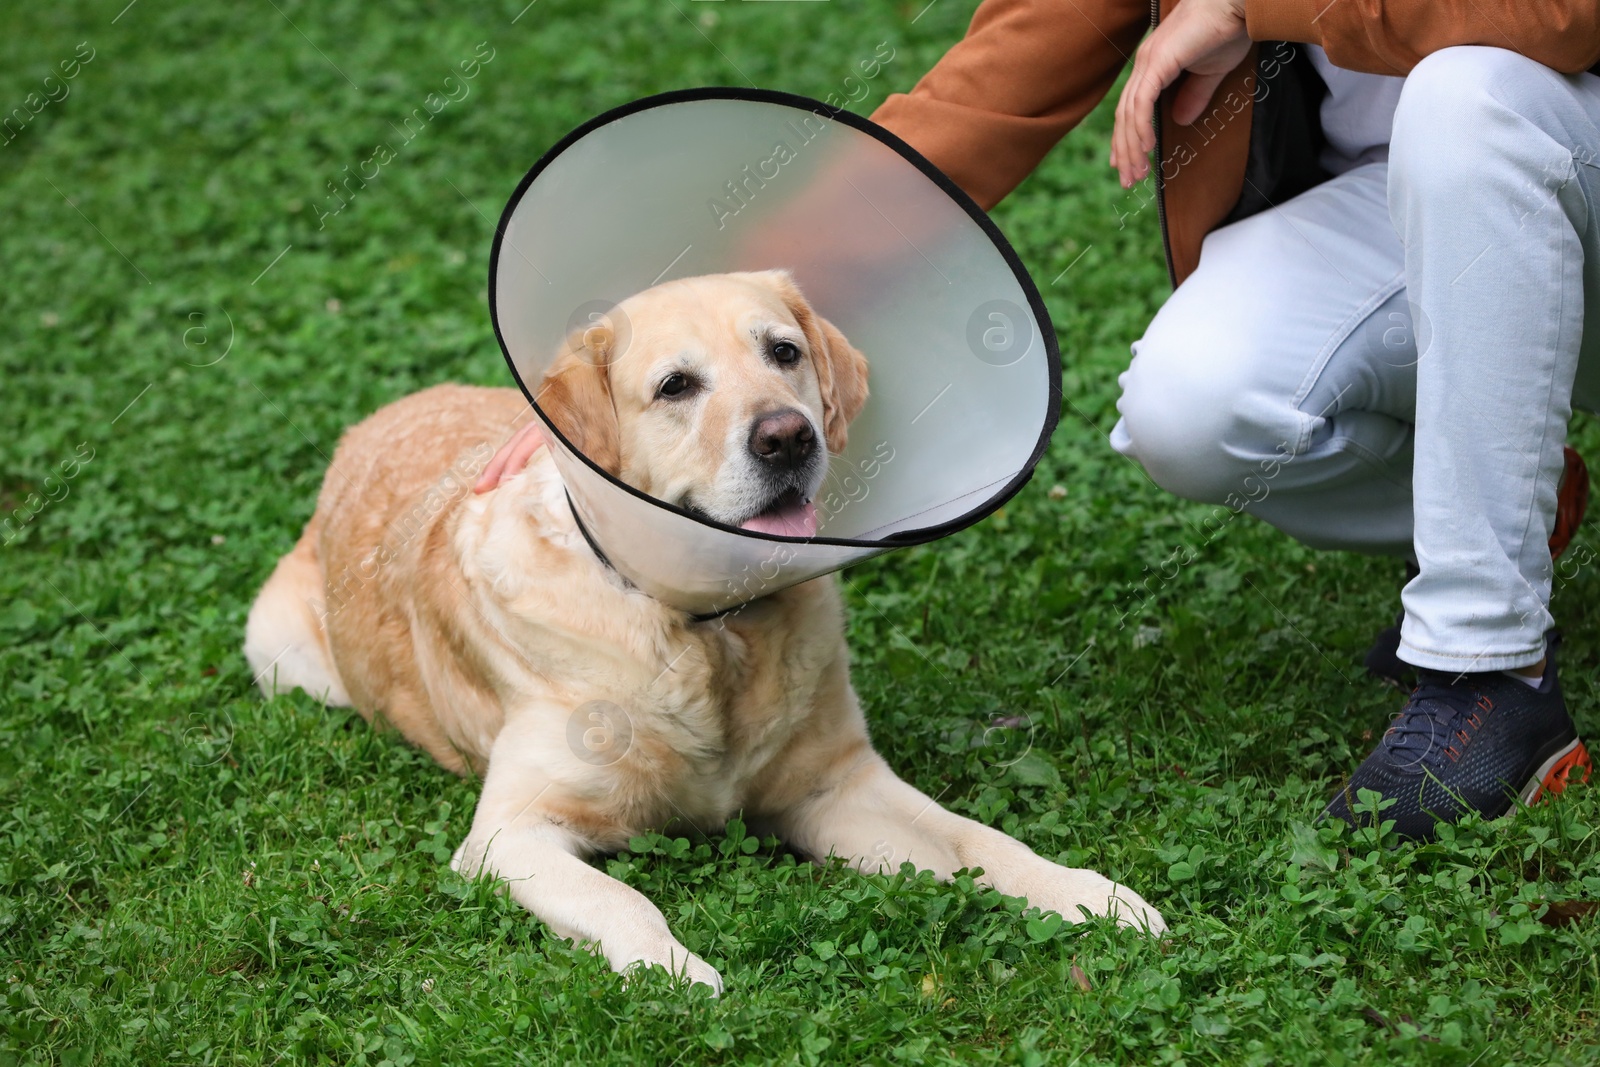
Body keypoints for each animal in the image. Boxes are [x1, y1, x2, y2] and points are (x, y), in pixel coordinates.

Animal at [243, 268, 1164, 991]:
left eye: (784, 352)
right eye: (676, 386)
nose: (788, 437)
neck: (707, 628)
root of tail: (376, 416)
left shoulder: (837, 787)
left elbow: (978, 836)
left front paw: (1089, 892)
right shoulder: (510, 833)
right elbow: (622, 896)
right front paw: (673, 969)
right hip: (282, 656)